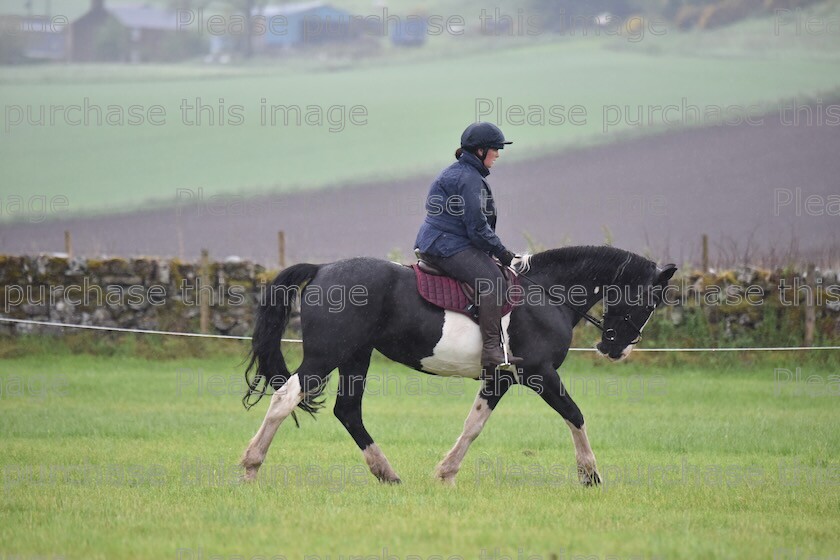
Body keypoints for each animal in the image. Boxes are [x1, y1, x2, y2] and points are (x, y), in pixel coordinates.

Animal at [238, 245, 676, 486]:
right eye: (649, 302)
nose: (617, 350)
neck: (546, 293)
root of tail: (323, 269)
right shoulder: (540, 374)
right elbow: (576, 415)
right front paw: (590, 475)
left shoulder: (501, 379)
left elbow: (474, 425)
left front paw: (446, 473)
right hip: (326, 356)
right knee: (284, 399)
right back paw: (250, 467)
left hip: (355, 358)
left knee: (348, 412)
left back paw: (387, 474)